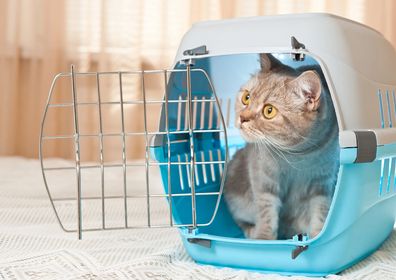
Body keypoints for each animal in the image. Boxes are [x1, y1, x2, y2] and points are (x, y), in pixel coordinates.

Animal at [224, 53, 338, 240]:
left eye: (269, 111)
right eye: (246, 98)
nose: (242, 118)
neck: (298, 156)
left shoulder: (323, 183)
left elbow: (321, 211)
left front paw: (318, 235)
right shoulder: (264, 180)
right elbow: (266, 213)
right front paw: (263, 238)